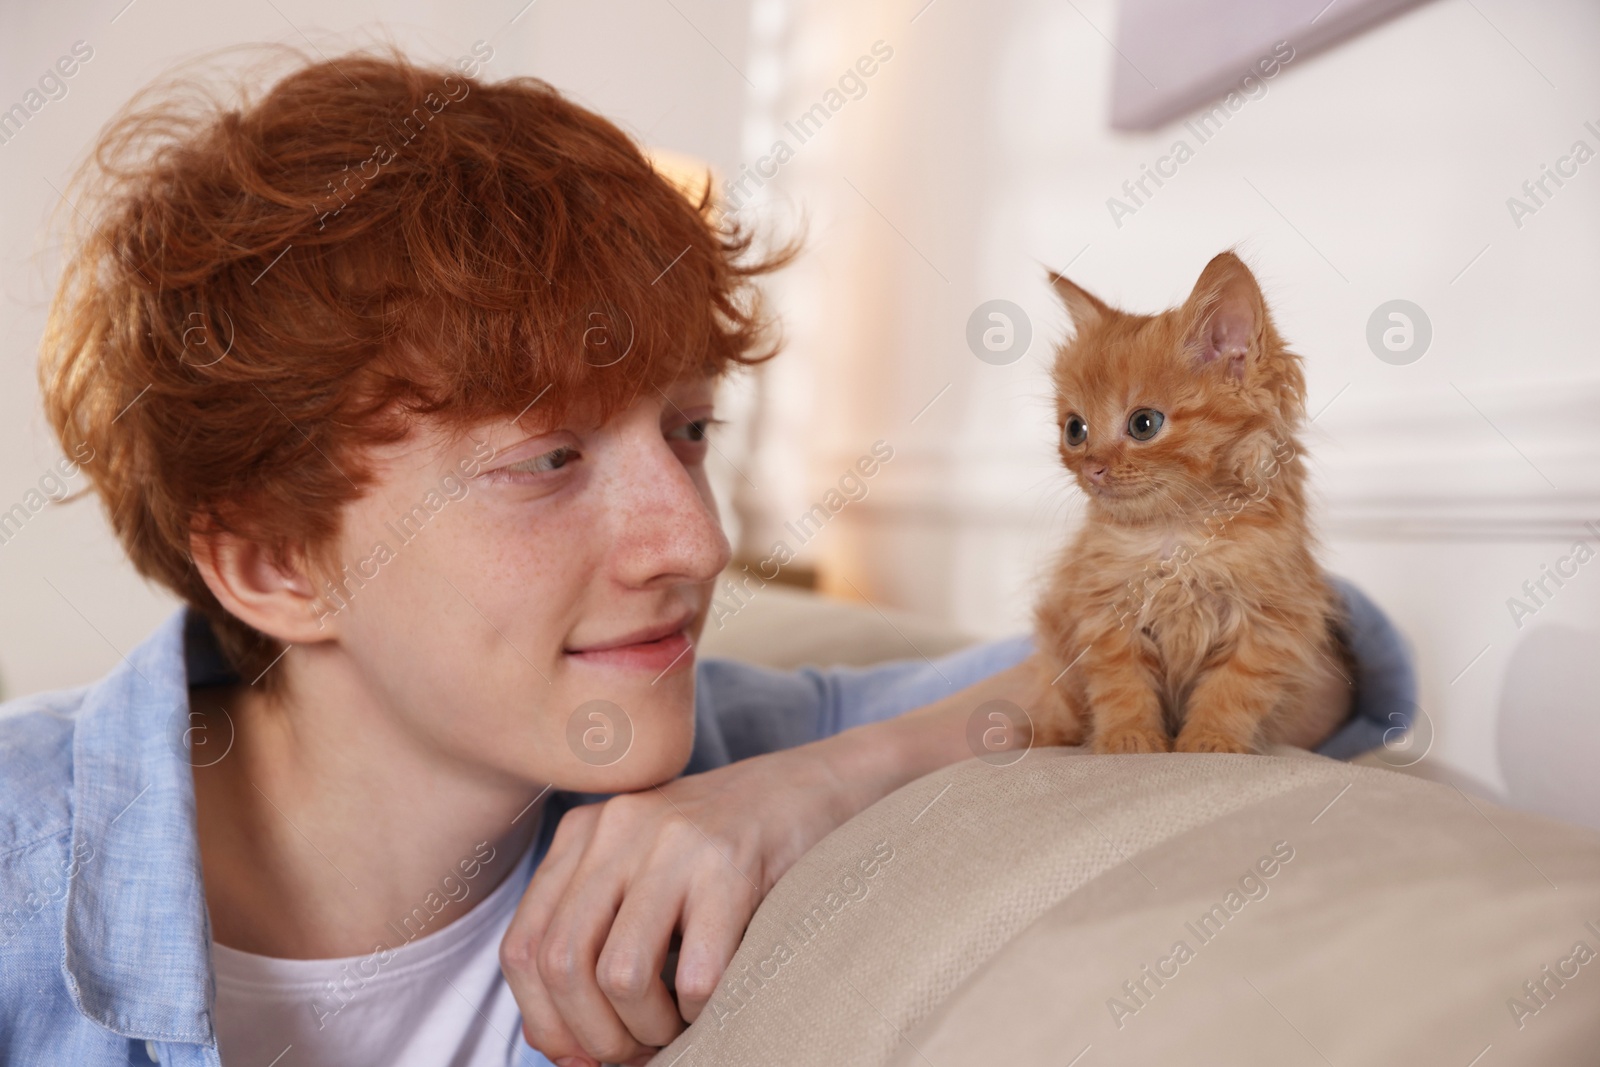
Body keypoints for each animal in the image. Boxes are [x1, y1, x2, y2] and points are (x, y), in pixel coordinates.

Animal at [1036, 251, 1350, 755]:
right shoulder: (1104, 612)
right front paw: (1129, 738)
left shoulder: (1270, 620)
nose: (1093, 469)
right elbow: (1121, 686)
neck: (1177, 535)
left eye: (1144, 423)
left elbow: (1233, 690)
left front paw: (1209, 741)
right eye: (1075, 430)